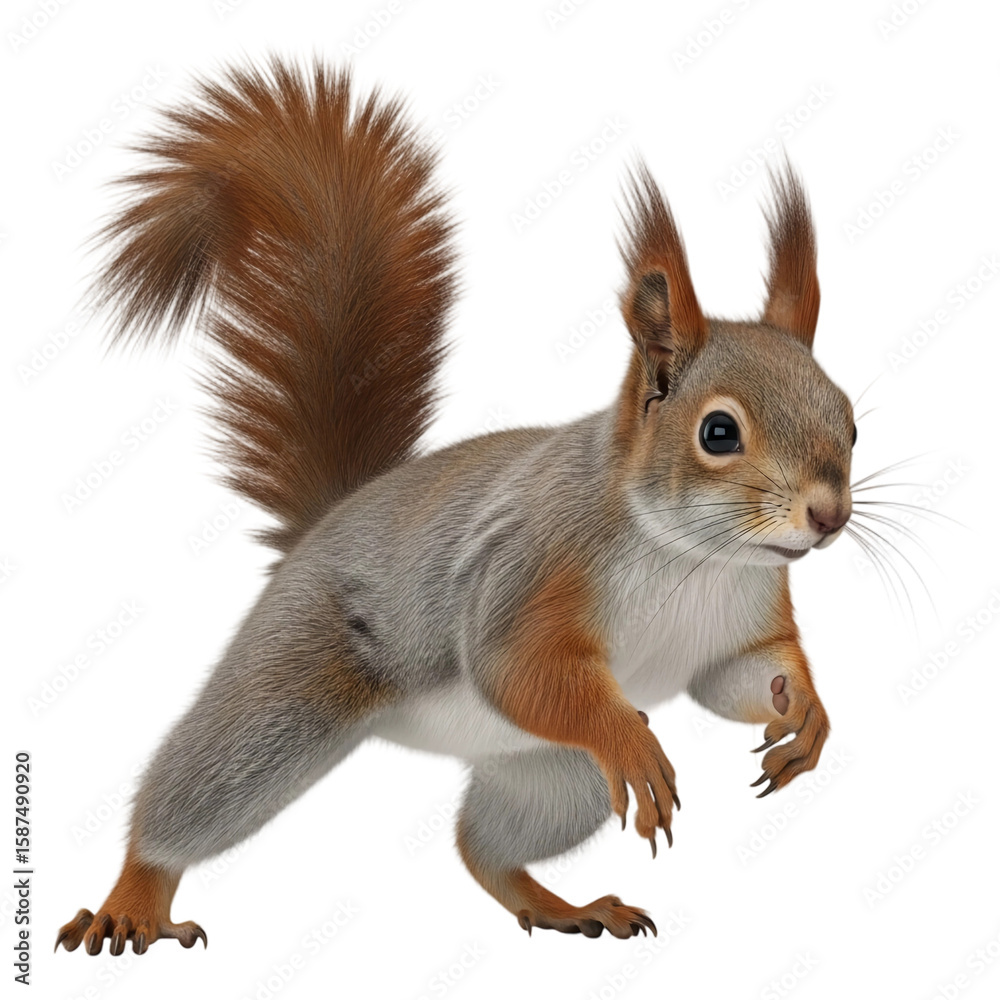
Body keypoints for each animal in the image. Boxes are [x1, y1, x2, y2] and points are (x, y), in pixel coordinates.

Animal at [55, 56, 855, 953]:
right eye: (719, 431)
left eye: (851, 417)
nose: (829, 516)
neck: (697, 559)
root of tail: (335, 517)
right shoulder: (530, 572)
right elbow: (517, 668)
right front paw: (627, 737)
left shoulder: (736, 629)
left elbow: (740, 677)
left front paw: (807, 713)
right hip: (286, 694)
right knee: (194, 790)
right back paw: (134, 899)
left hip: (551, 775)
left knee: (482, 849)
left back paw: (563, 905)